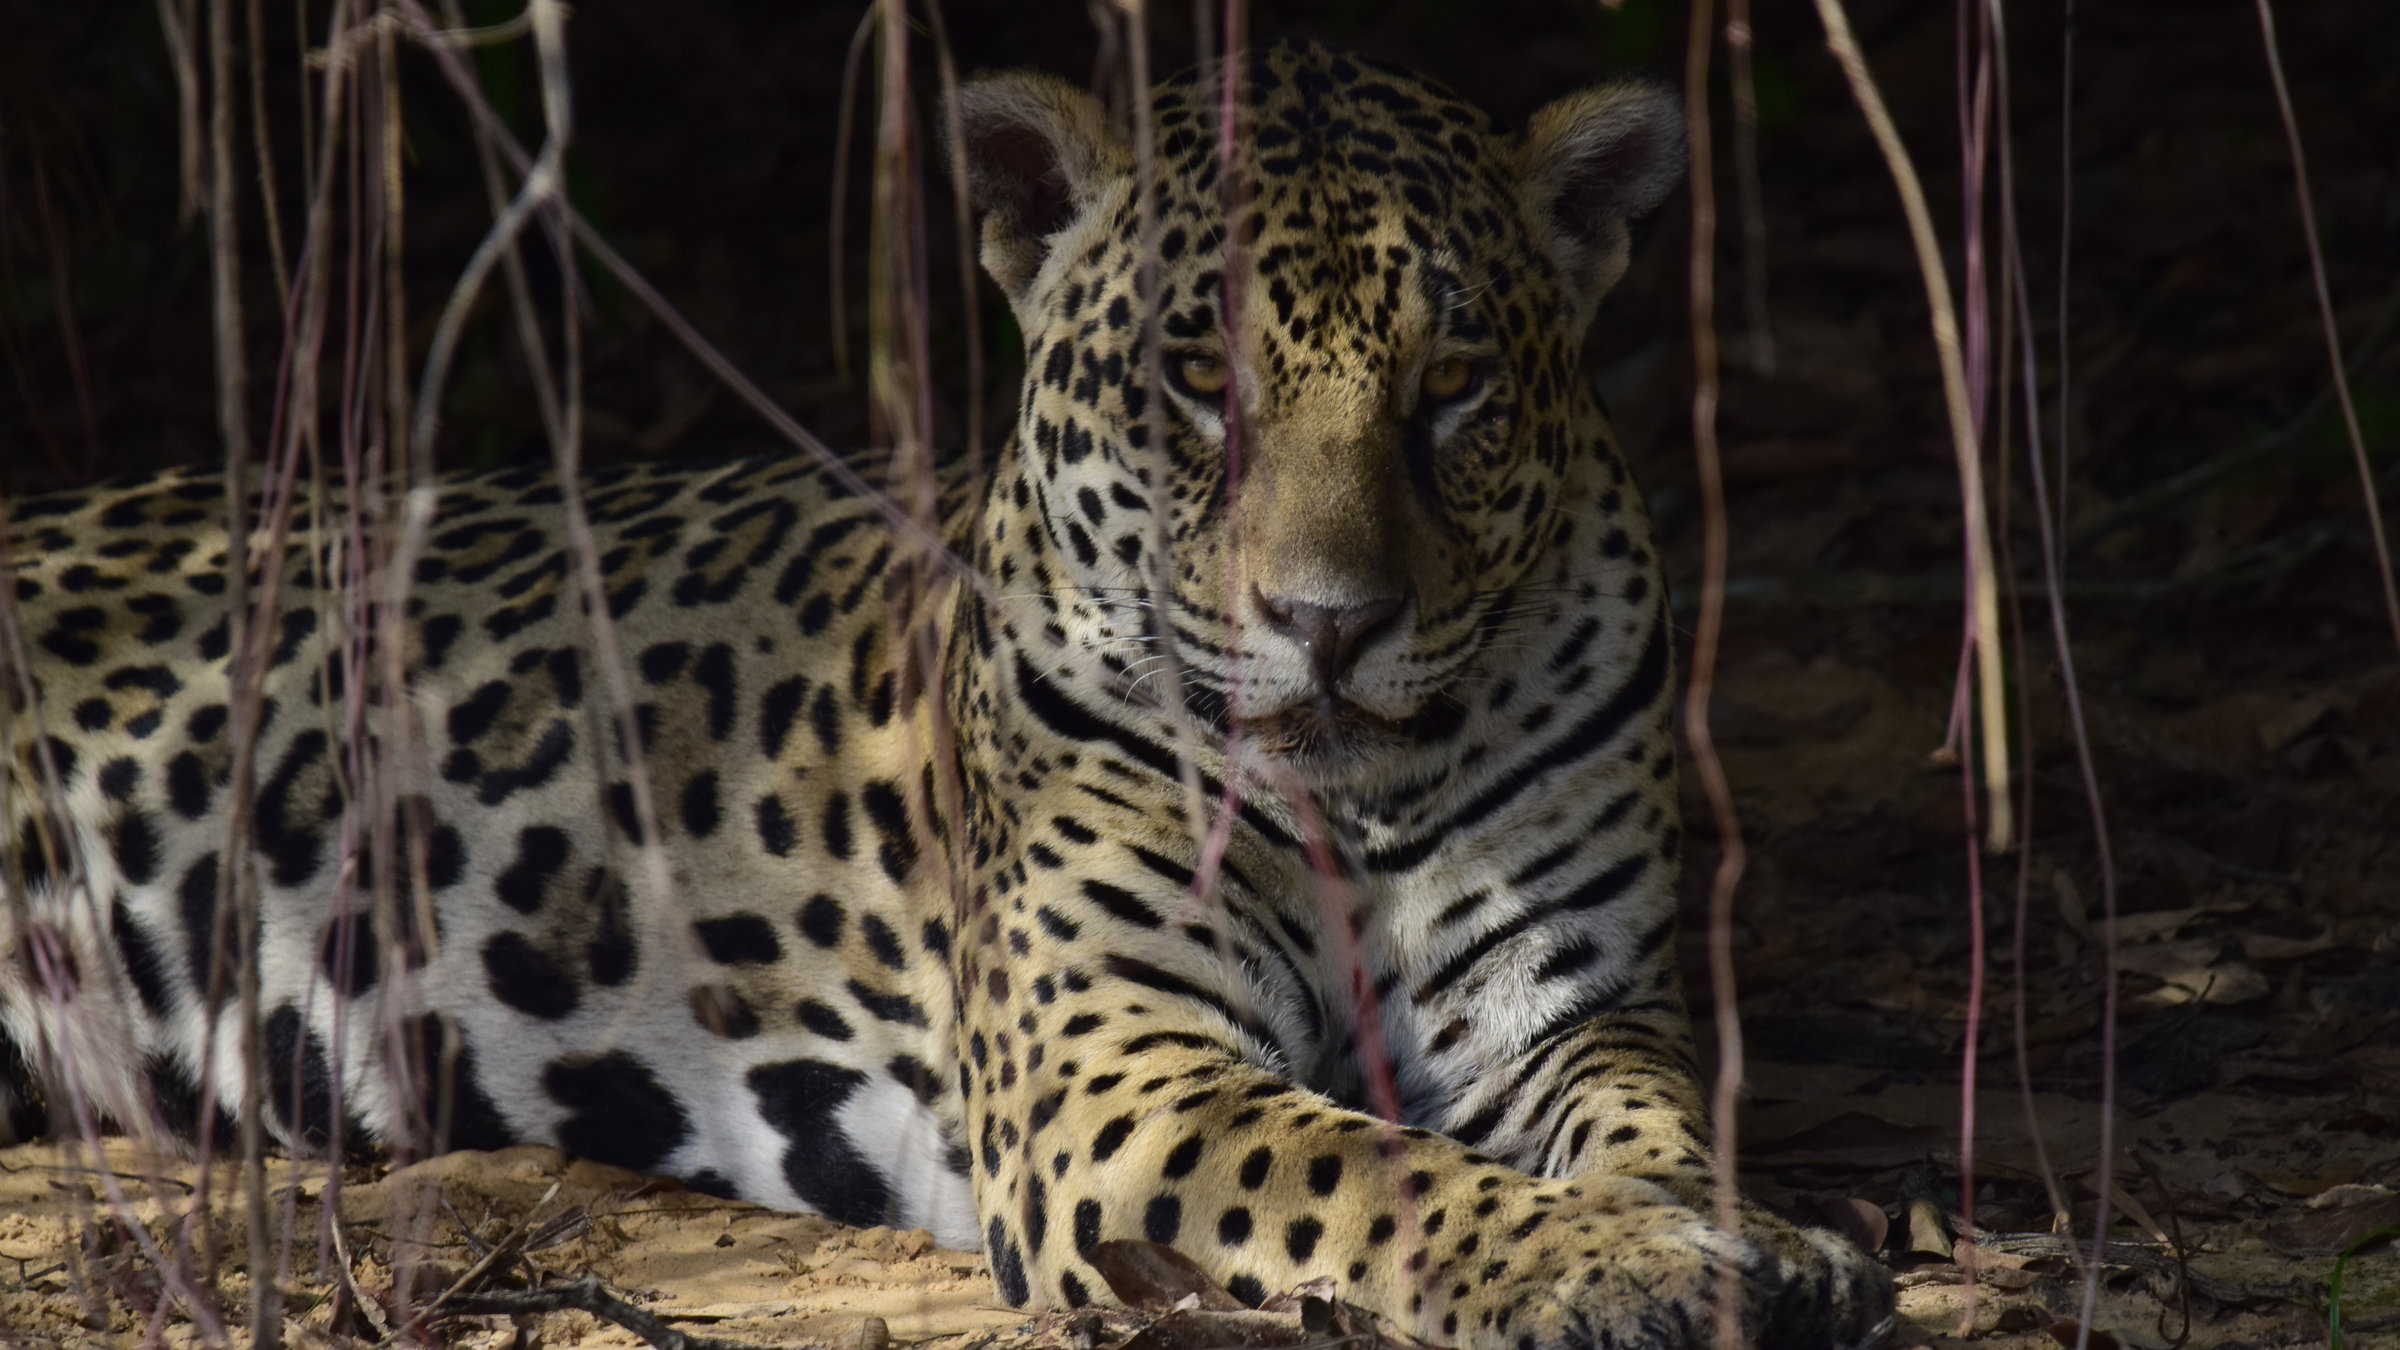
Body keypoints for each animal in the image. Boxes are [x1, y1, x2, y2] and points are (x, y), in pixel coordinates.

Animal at [1, 39, 1892, 1350]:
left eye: (1452, 389)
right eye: (1196, 380)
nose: (1329, 623)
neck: (1352, 803)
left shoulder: (1569, 1012)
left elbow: (1655, 1113)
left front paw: (1736, 1230)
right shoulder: (1120, 1072)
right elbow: (1378, 1171)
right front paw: (1608, 1262)